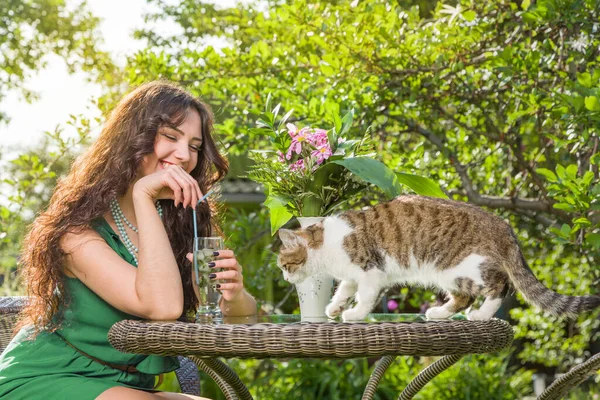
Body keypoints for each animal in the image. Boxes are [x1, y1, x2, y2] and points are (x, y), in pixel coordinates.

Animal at [276, 196, 600, 322]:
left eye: (285, 265)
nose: (284, 277)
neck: (326, 245)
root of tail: (503, 225)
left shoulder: (371, 271)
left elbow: (364, 297)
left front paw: (354, 314)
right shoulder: (353, 275)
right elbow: (344, 290)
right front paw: (334, 307)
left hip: (459, 267)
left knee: (500, 287)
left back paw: (481, 315)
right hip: (448, 274)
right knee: (464, 297)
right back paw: (441, 313)